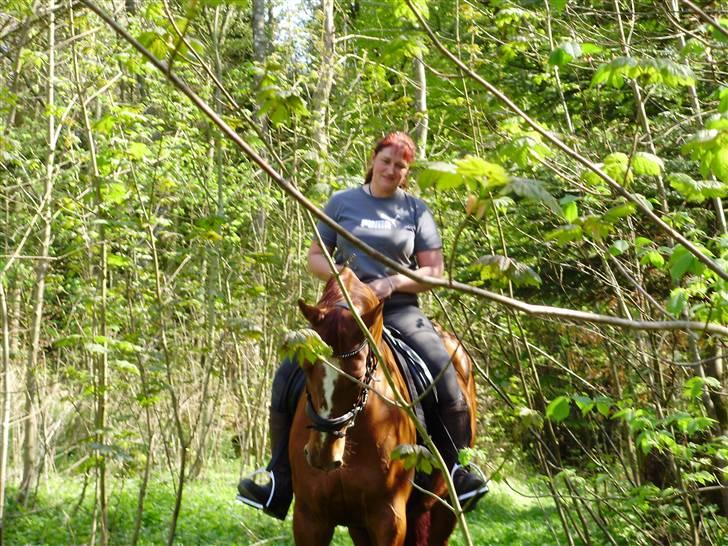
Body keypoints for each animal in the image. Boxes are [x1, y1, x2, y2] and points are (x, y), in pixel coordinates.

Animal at [290, 268, 478, 544]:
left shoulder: (389, 519)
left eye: (358, 376)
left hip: (444, 510)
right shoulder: (310, 518)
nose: (323, 454)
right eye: (305, 366)